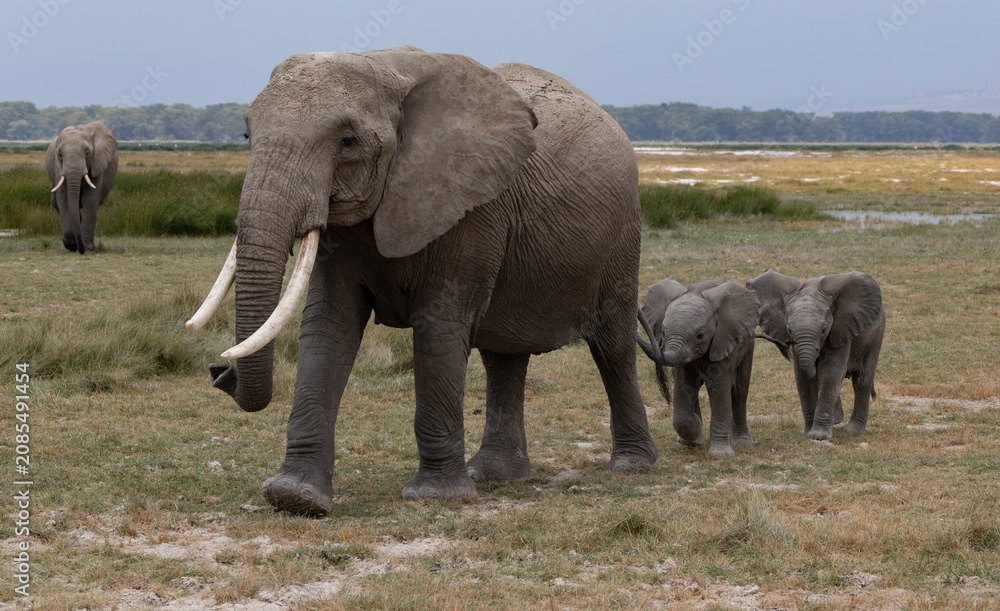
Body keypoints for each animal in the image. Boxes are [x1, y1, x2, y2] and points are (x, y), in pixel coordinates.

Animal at [45, 121, 118, 254]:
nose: (81, 250)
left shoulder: (97, 164)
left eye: (87, 153)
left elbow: (90, 200)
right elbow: (63, 200)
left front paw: (87, 249)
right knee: (56, 202)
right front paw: (72, 245)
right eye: (60, 155)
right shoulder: (58, 168)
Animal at [187, 47, 660, 516]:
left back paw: (632, 466)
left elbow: (437, 326)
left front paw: (435, 496)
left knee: (612, 346)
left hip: (622, 236)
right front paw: (294, 496)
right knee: (503, 355)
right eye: (246, 135)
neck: (386, 69)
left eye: (347, 141)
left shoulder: (470, 206)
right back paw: (494, 476)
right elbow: (328, 325)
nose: (219, 371)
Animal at [638, 278, 760, 458]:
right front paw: (694, 436)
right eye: (663, 333)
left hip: (747, 342)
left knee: (739, 390)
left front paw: (720, 455)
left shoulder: (723, 339)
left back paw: (743, 444)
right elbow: (684, 385)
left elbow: (719, 387)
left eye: (700, 336)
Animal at [746, 270, 885, 441]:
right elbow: (802, 376)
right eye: (789, 330)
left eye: (823, 329)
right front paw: (808, 433)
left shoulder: (839, 328)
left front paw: (819, 436)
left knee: (862, 379)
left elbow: (831, 372)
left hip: (876, 333)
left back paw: (853, 430)